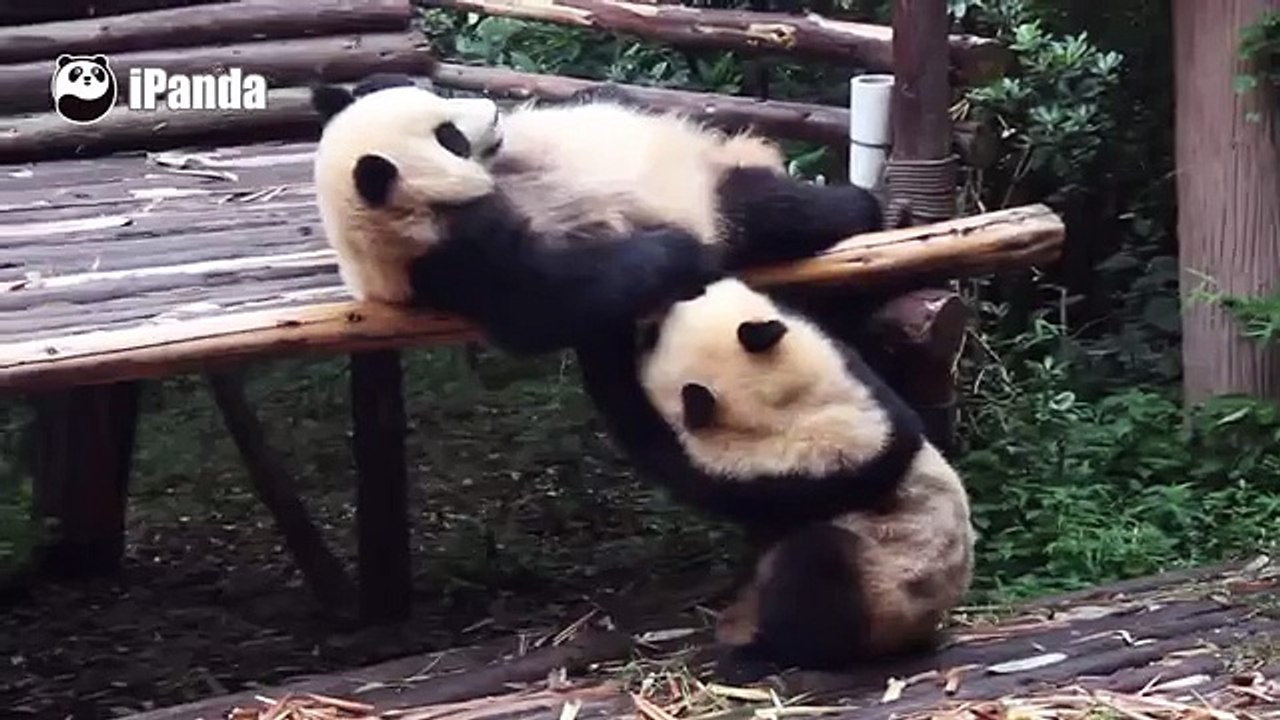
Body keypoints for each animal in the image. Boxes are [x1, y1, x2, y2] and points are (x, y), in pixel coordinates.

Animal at [309, 76, 884, 355]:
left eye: (436, 102)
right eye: (448, 137)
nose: (493, 113)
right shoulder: (450, 257)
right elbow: (553, 297)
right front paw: (684, 250)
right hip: (718, 195)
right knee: (773, 208)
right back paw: (858, 204)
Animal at [574, 278, 976, 675]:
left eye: (653, 337)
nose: (651, 314)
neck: (781, 400)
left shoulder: (780, 473)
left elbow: (657, 447)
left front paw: (600, 343)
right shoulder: (865, 388)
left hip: (888, 588)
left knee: (819, 563)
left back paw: (768, 651)